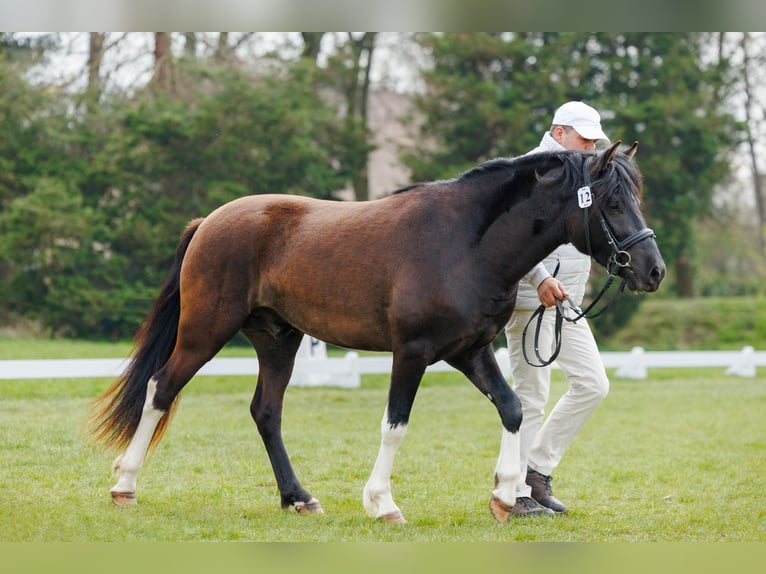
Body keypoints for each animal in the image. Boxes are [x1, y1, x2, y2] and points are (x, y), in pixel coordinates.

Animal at [89, 140, 665, 524]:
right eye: (614, 203)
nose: (653, 270)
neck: (464, 243)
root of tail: (209, 221)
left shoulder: (470, 351)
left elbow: (513, 409)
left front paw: (505, 496)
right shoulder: (411, 352)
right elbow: (395, 424)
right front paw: (382, 503)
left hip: (278, 340)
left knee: (266, 412)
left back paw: (298, 498)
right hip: (205, 331)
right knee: (161, 388)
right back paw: (124, 485)